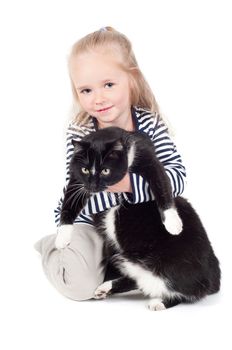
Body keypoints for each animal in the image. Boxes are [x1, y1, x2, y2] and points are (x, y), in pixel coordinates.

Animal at [57, 127, 220, 310]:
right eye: (85, 170)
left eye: (105, 170)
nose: (92, 186)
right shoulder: (76, 179)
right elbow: (69, 201)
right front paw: (62, 237)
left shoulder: (149, 160)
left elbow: (162, 185)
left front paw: (172, 222)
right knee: (138, 279)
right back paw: (105, 288)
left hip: (173, 267)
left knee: (186, 290)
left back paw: (158, 302)